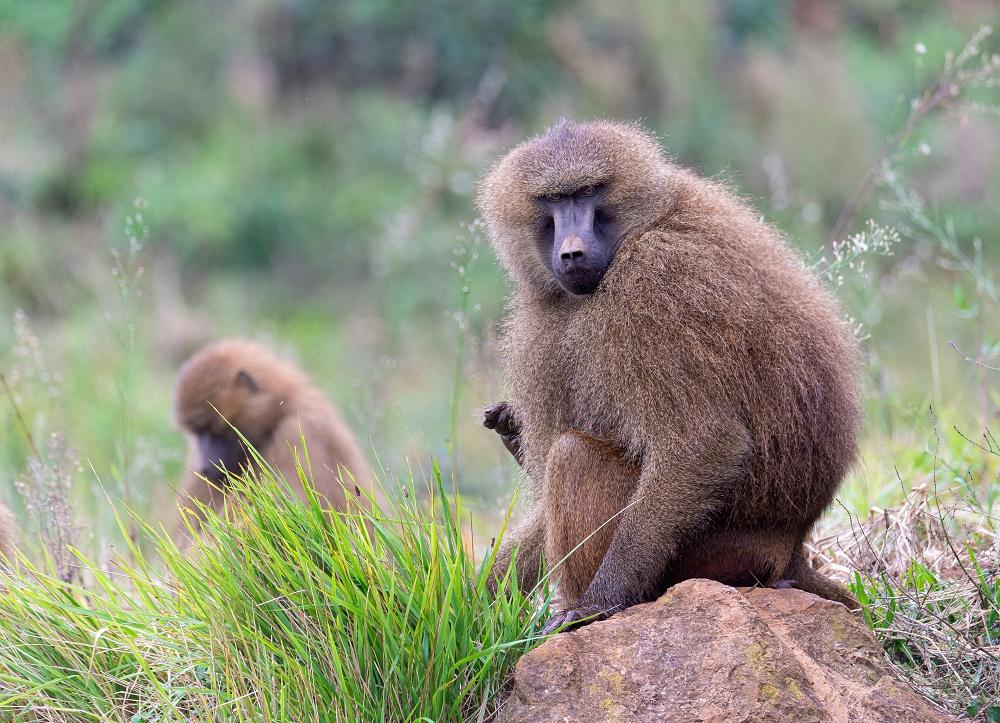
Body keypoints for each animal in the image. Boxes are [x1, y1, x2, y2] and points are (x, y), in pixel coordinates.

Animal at [173, 338, 374, 542]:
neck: (276, 414)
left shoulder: (297, 430)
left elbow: (290, 509)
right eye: (197, 432)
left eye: (215, 431)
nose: (205, 467)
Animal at [477, 119, 861, 633]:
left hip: (712, 554)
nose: (572, 253)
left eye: (589, 192)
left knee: (574, 456)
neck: (643, 226)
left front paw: (600, 602)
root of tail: (791, 548)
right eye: (554, 200)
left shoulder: (652, 286)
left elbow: (704, 442)